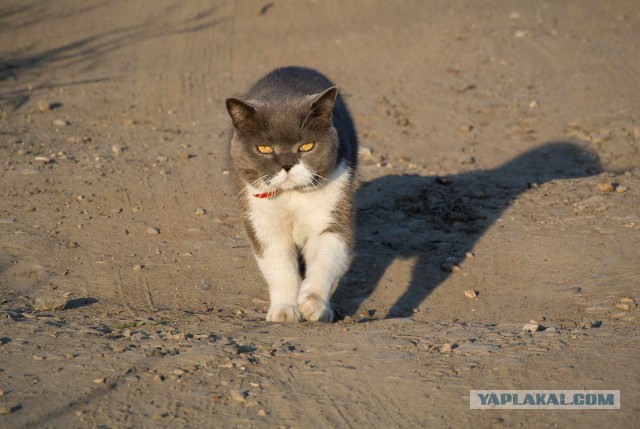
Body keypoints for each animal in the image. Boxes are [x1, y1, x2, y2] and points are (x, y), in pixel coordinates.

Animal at [225, 66, 358, 320]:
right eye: (264, 149)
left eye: (306, 146)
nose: (287, 164)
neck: (291, 198)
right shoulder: (262, 222)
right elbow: (279, 268)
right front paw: (285, 310)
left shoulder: (332, 213)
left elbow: (325, 259)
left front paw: (312, 304)